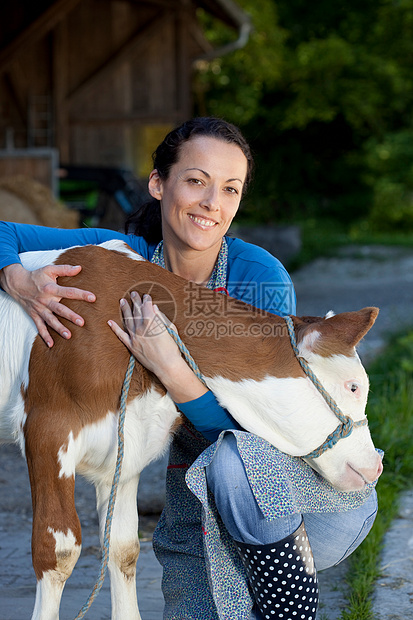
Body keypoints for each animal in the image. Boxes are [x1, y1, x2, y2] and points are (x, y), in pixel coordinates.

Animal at [0, 241, 382, 620]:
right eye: (353, 387)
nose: (376, 465)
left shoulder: (126, 445)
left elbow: (123, 548)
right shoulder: (46, 429)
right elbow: (58, 551)